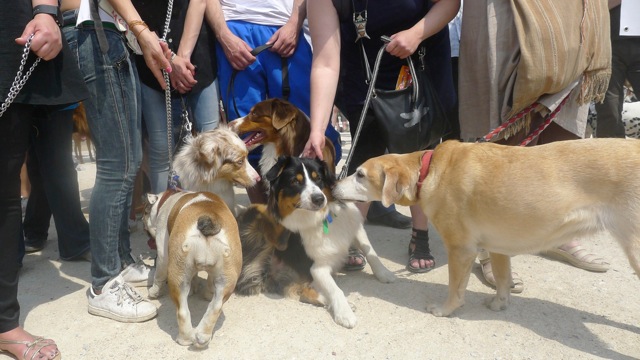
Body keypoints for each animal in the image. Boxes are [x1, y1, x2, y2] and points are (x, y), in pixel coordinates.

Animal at [144, 190, 241, 348]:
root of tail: (210, 217)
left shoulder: (163, 253)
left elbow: (159, 274)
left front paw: (154, 292)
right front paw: (198, 289)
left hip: (177, 275)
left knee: (182, 311)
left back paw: (184, 339)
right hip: (227, 275)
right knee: (215, 306)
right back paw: (203, 335)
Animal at [332, 139, 640, 316]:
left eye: (360, 174)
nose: (332, 187)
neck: (428, 170)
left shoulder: (461, 250)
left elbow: (456, 288)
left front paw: (445, 310)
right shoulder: (499, 246)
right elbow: (503, 279)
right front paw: (500, 303)